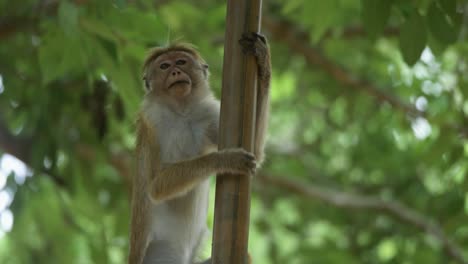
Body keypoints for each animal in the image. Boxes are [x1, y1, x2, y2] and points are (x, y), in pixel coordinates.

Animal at [128, 33, 272, 264]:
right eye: (164, 66)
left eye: (181, 62)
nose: (176, 72)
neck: (181, 110)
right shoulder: (153, 120)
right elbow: (156, 187)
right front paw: (225, 160)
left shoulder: (208, 112)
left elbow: (256, 153)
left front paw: (263, 61)